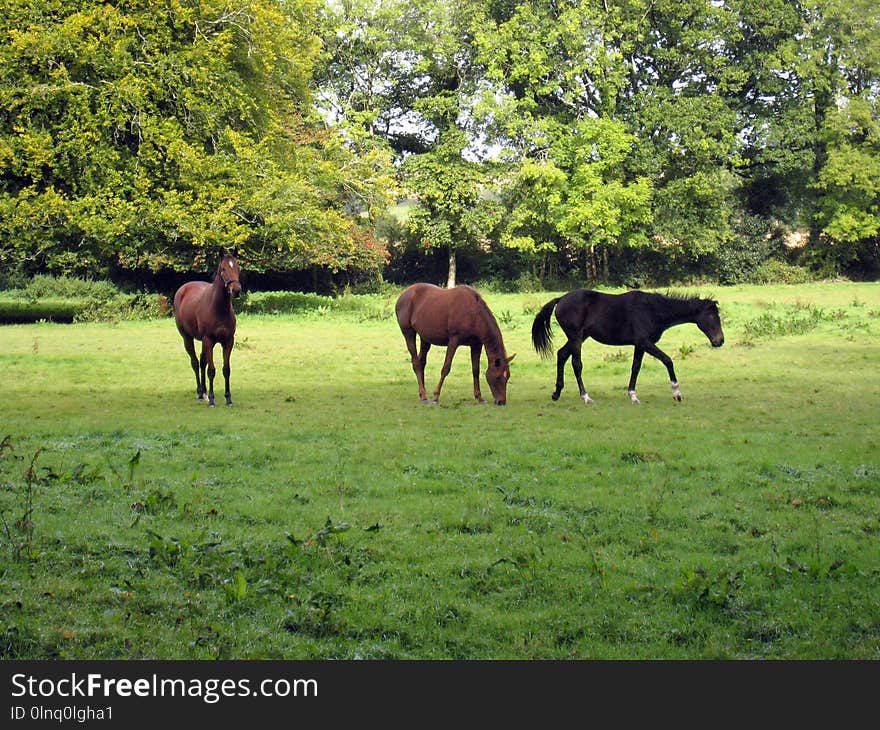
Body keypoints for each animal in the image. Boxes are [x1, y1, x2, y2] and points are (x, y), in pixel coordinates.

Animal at [172, 253, 242, 406]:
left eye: (237, 267)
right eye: (223, 269)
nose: (236, 290)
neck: (219, 308)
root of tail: (183, 289)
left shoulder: (228, 341)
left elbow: (226, 369)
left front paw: (228, 398)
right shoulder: (208, 340)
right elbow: (211, 370)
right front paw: (212, 399)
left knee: (202, 362)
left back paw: (203, 392)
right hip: (188, 338)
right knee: (195, 362)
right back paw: (200, 393)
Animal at [532, 288, 724, 404]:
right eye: (712, 316)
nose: (720, 340)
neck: (653, 310)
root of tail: (561, 299)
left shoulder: (640, 345)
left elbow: (635, 367)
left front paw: (633, 396)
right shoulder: (645, 342)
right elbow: (667, 360)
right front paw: (677, 393)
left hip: (579, 337)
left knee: (562, 355)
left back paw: (556, 393)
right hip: (576, 337)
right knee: (576, 364)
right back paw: (586, 397)